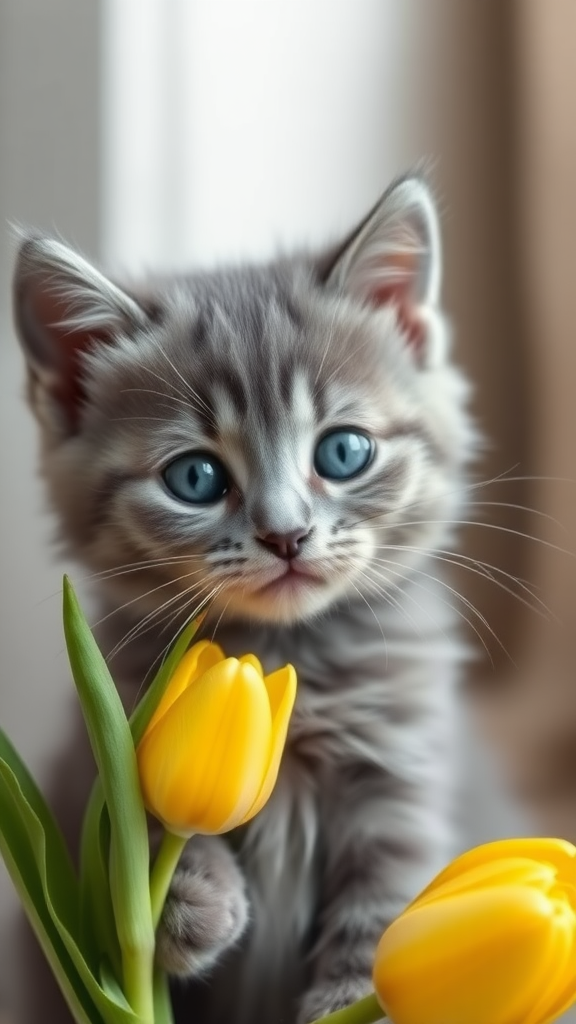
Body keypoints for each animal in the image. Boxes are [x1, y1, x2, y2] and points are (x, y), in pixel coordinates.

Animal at [13, 180, 475, 1024]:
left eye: (343, 452)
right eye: (194, 478)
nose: (286, 534)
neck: (280, 656)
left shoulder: (400, 773)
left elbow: (387, 909)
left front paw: (353, 999)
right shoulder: (100, 740)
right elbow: (136, 820)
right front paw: (188, 902)